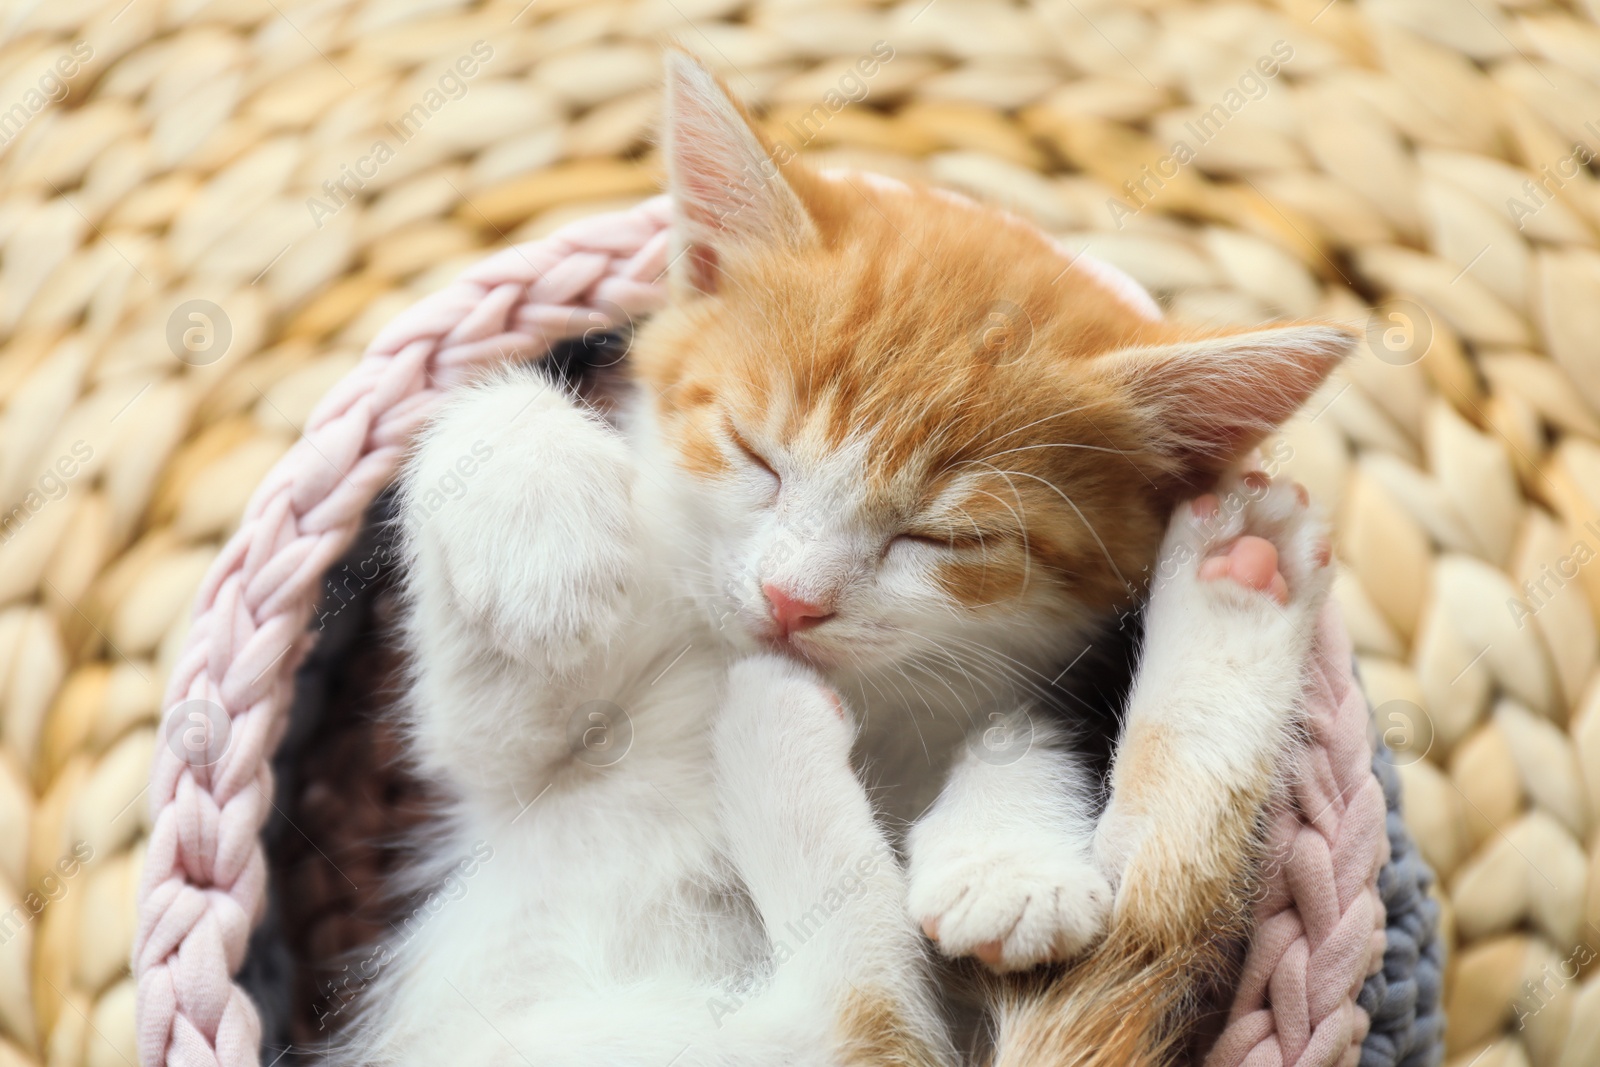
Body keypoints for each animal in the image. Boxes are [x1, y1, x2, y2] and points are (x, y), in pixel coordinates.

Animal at [334, 56, 1350, 1067]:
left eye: (947, 538)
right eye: (754, 454)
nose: (791, 600)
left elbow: (1027, 729)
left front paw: (1008, 855)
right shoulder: (505, 761)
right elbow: (488, 683)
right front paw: (542, 547)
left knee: (881, 1004)